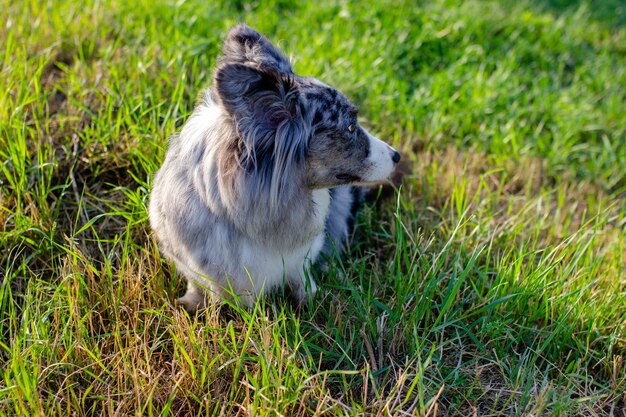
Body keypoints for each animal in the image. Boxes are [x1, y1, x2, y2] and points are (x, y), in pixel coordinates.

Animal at [149, 24, 398, 310]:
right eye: (349, 128)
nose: (397, 155)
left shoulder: (301, 256)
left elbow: (301, 277)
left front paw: (311, 298)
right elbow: (197, 285)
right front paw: (190, 303)